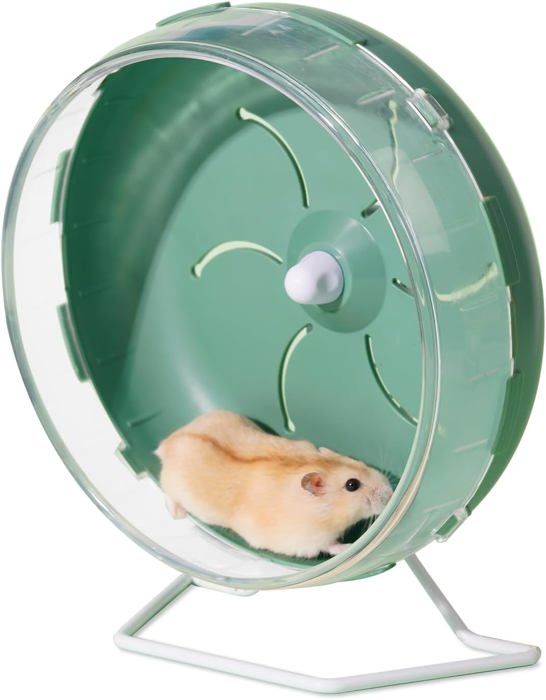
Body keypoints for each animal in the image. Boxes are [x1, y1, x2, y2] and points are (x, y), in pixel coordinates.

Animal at [157, 410, 393, 558]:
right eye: (352, 485)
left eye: (358, 462)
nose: (391, 494)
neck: (321, 511)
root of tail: (167, 443)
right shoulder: (304, 541)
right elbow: (331, 546)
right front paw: (352, 546)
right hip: (172, 484)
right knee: (166, 491)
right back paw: (178, 513)